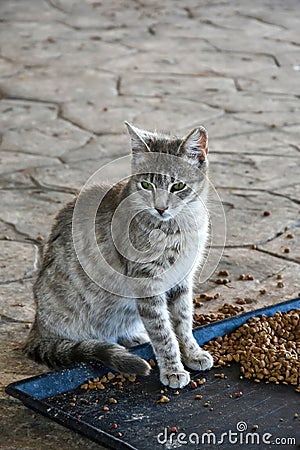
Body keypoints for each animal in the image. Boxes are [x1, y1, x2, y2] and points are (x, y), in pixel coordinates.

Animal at [25, 122, 213, 386]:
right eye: (146, 185)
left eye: (178, 186)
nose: (160, 208)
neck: (178, 227)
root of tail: (37, 327)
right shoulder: (146, 282)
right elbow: (163, 333)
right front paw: (172, 369)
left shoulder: (182, 280)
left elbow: (183, 322)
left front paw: (192, 353)